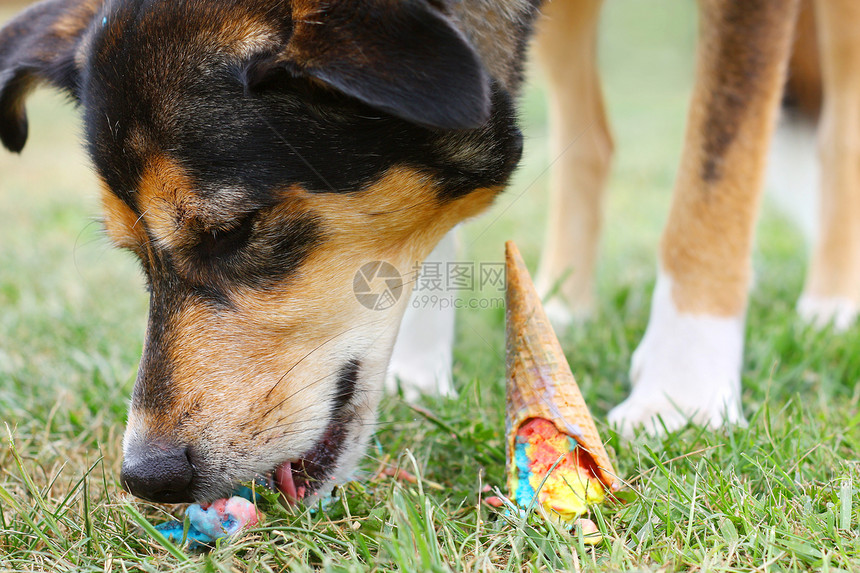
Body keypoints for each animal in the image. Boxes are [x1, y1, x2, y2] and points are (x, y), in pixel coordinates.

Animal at [0, 0, 848, 500]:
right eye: (130, 251)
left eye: (233, 229)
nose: (148, 476)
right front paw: (418, 370)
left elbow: (717, 166)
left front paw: (684, 388)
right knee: (592, 137)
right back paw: (563, 302)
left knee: (840, 112)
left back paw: (831, 304)